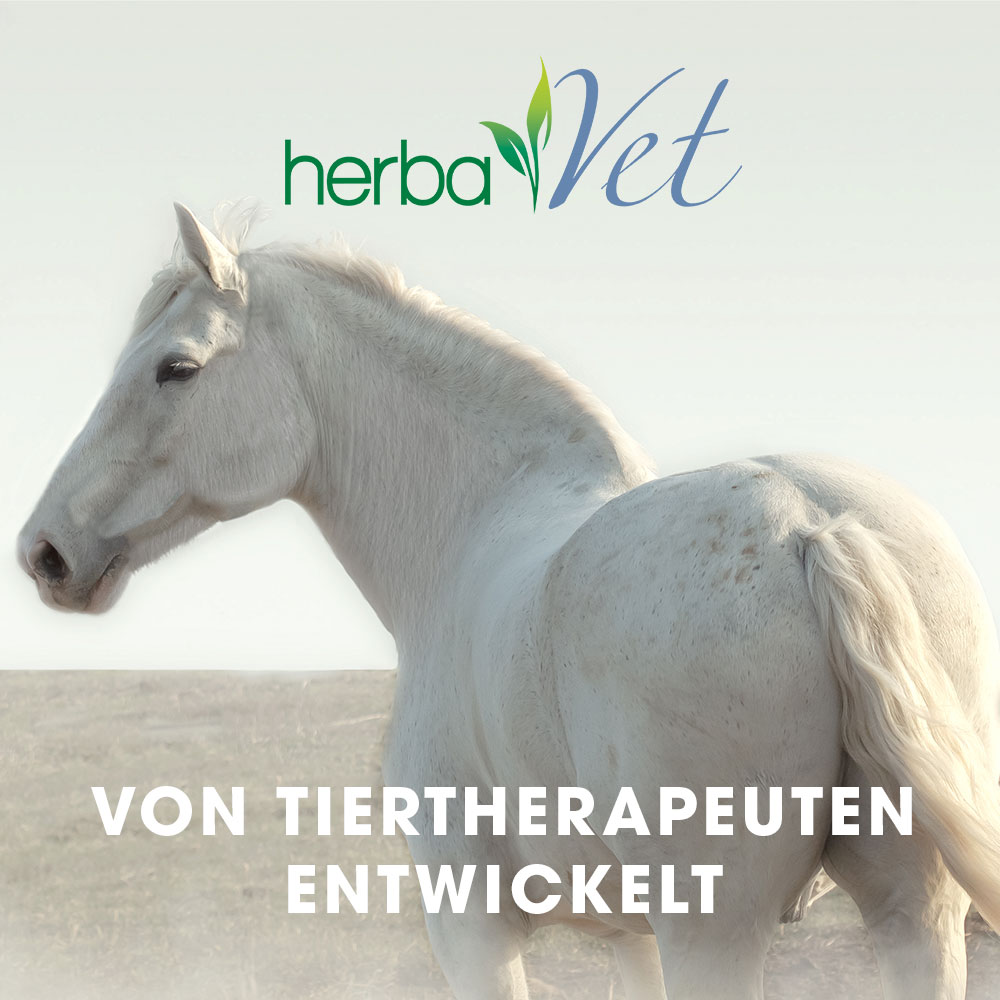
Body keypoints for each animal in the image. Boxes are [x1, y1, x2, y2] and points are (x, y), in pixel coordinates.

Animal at [17, 203, 1000, 1000]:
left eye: (175, 369)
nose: (45, 551)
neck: (476, 521)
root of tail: (810, 528)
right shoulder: (628, 936)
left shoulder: (472, 929)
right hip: (915, 917)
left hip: (719, 930)